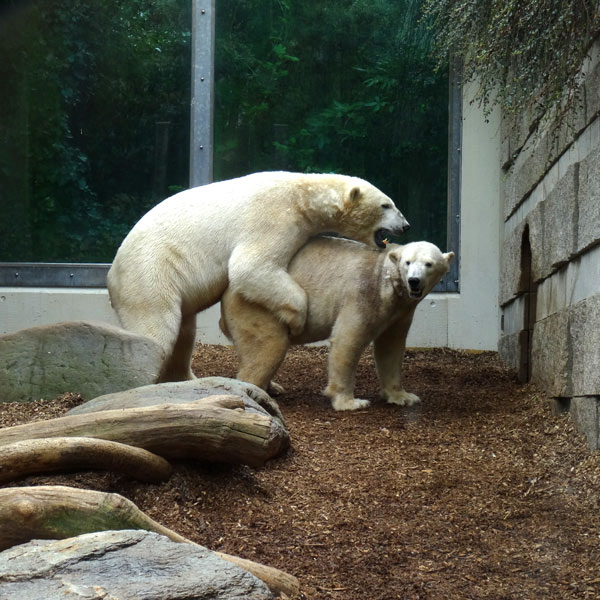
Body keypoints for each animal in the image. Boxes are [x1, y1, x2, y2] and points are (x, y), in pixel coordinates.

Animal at [108, 171, 410, 382]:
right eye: (386, 205)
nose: (406, 225)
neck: (302, 195)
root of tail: (112, 274)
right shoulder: (274, 217)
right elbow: (250, 266)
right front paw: (297, 319)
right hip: (150, 273)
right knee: (157, 328)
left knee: (185, 332)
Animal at [220, 237, 454, 410]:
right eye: (408, 262)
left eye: (429, 264)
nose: (414, 281)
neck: (385, 280)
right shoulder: (362, 295)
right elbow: (347, 340)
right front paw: (351, 402)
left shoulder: (400, 311)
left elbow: (391, 347)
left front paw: (403, 396)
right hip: (258, 306)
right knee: (269, 346)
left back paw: (273, 387)